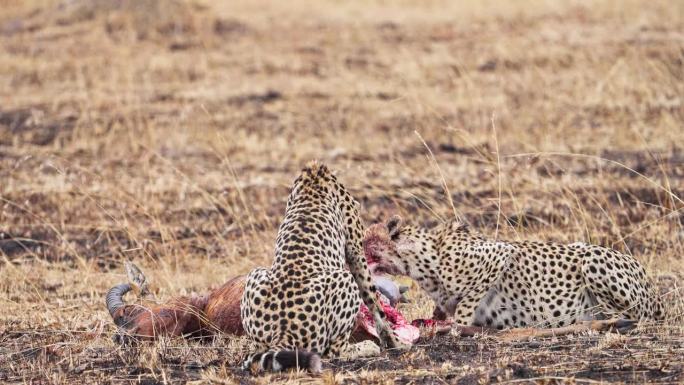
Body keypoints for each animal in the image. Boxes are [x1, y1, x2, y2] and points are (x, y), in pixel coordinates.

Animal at [240, 161, 406, 372]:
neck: (314, 175)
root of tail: (283, 331)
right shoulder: (355, 251)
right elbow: (374, 301)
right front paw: (395, 342)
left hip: (255, 275)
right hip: (345, 280)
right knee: (333, 351)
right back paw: (366, 347)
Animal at [366, 216, 664, 340]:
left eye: (366, 236)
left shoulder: (498, 255)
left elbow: (464, 308)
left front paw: (457, 326)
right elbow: (441, 309)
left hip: (591, 259)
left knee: (637, 317)